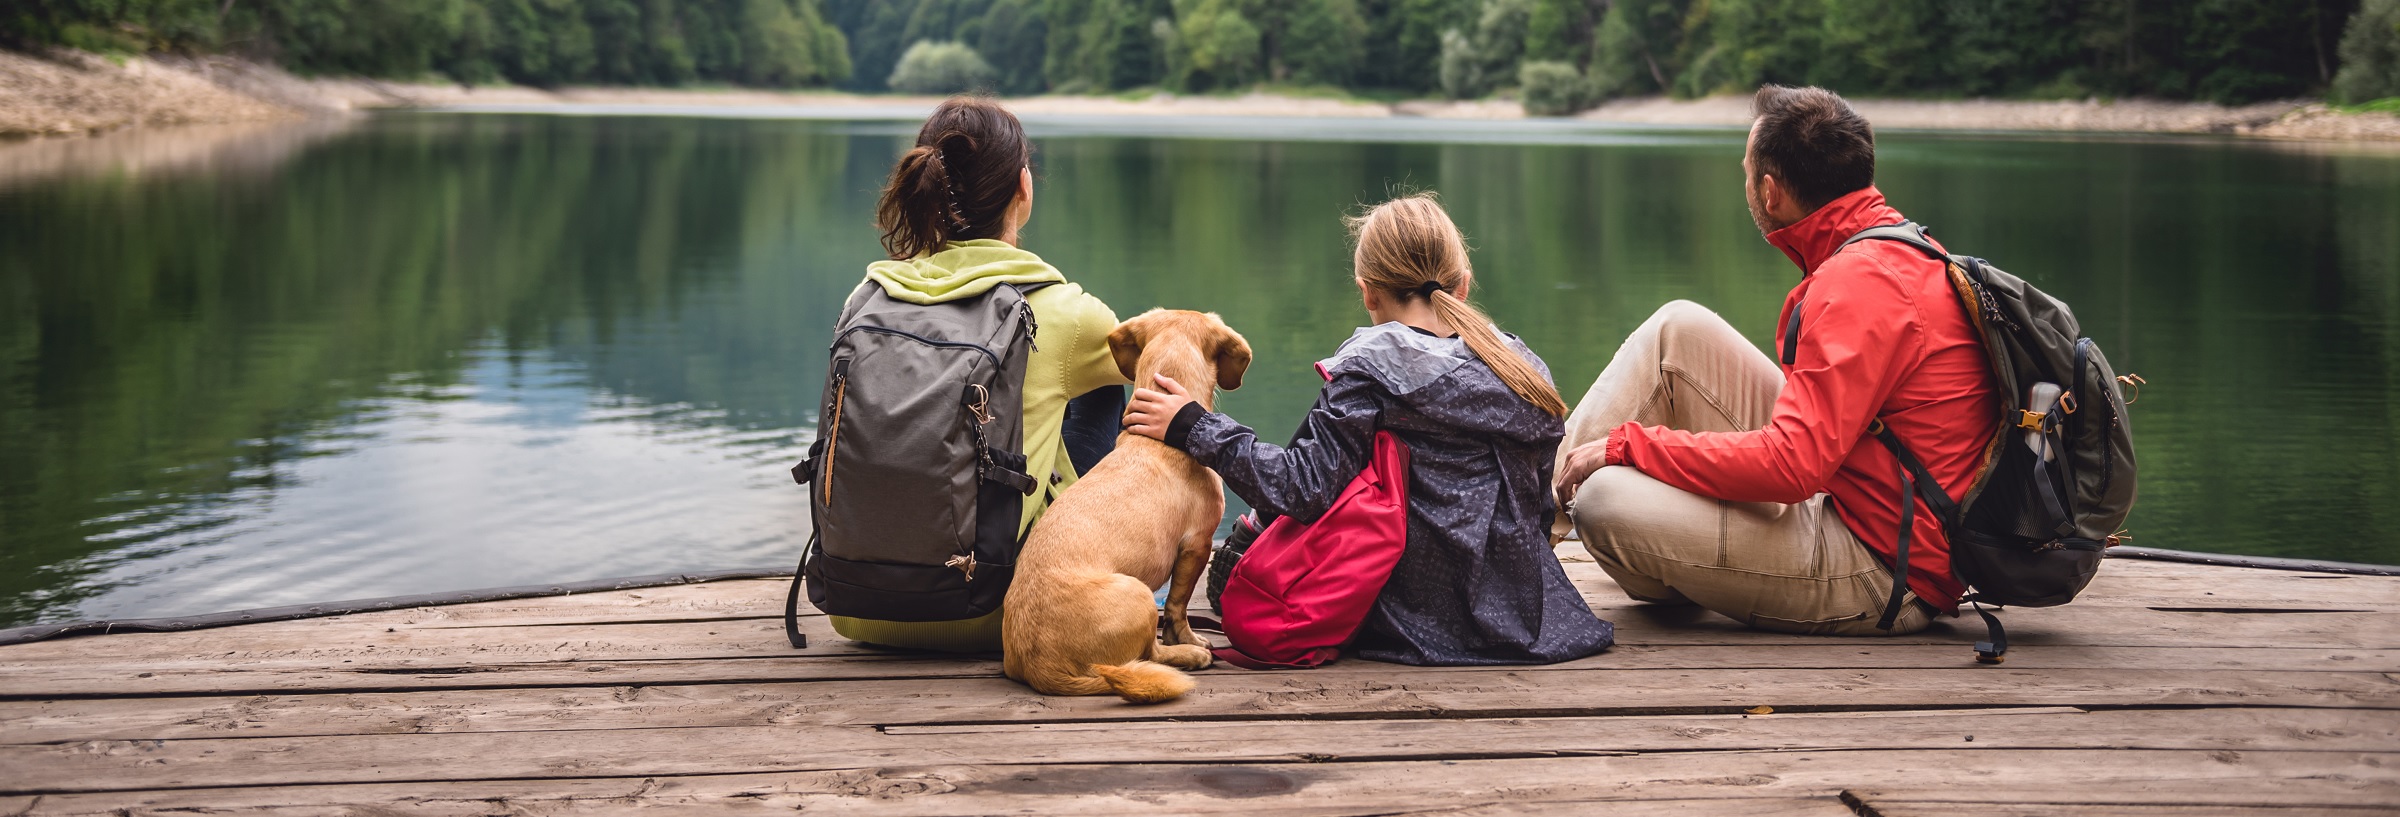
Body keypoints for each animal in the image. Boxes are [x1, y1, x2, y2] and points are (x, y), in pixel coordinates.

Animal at [998, 309, 1257, 706]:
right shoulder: (1197, 545)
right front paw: (1189, 639)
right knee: (1150, 654)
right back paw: (1191, 655)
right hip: (1140, 595)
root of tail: (1041, 667)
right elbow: (1179, 606)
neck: (1156, 440)